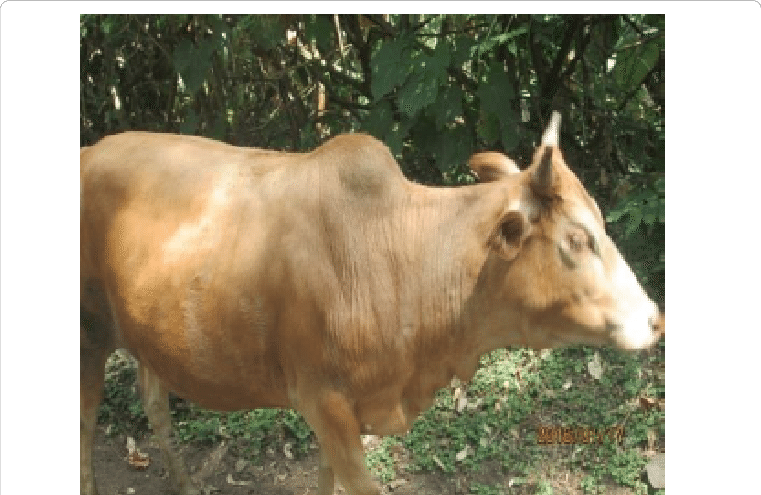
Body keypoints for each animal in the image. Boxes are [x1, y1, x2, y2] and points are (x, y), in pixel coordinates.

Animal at [80, 112, 664, 495]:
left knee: (154, 406)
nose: (656, 320)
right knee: (87, 423)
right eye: (578, 238)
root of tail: (91, 150)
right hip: (90, 334)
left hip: (148, 333)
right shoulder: (322, 400)